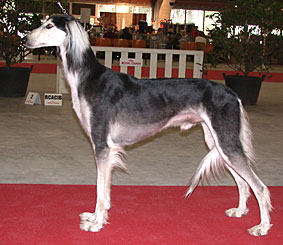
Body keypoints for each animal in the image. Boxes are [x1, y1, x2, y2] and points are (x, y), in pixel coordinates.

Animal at [23, 14, 272, 235]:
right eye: (42, 22)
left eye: (49, 26)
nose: (24, 39)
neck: (87, 78)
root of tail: (232, 93)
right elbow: (104, 190)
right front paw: (95, 218)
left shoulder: (102, 146)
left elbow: (100, 191)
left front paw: (97, 223)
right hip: (219, 143)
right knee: (243, 183)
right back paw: (240, 211)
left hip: (226, 143)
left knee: (259, 187)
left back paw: (263, 227)